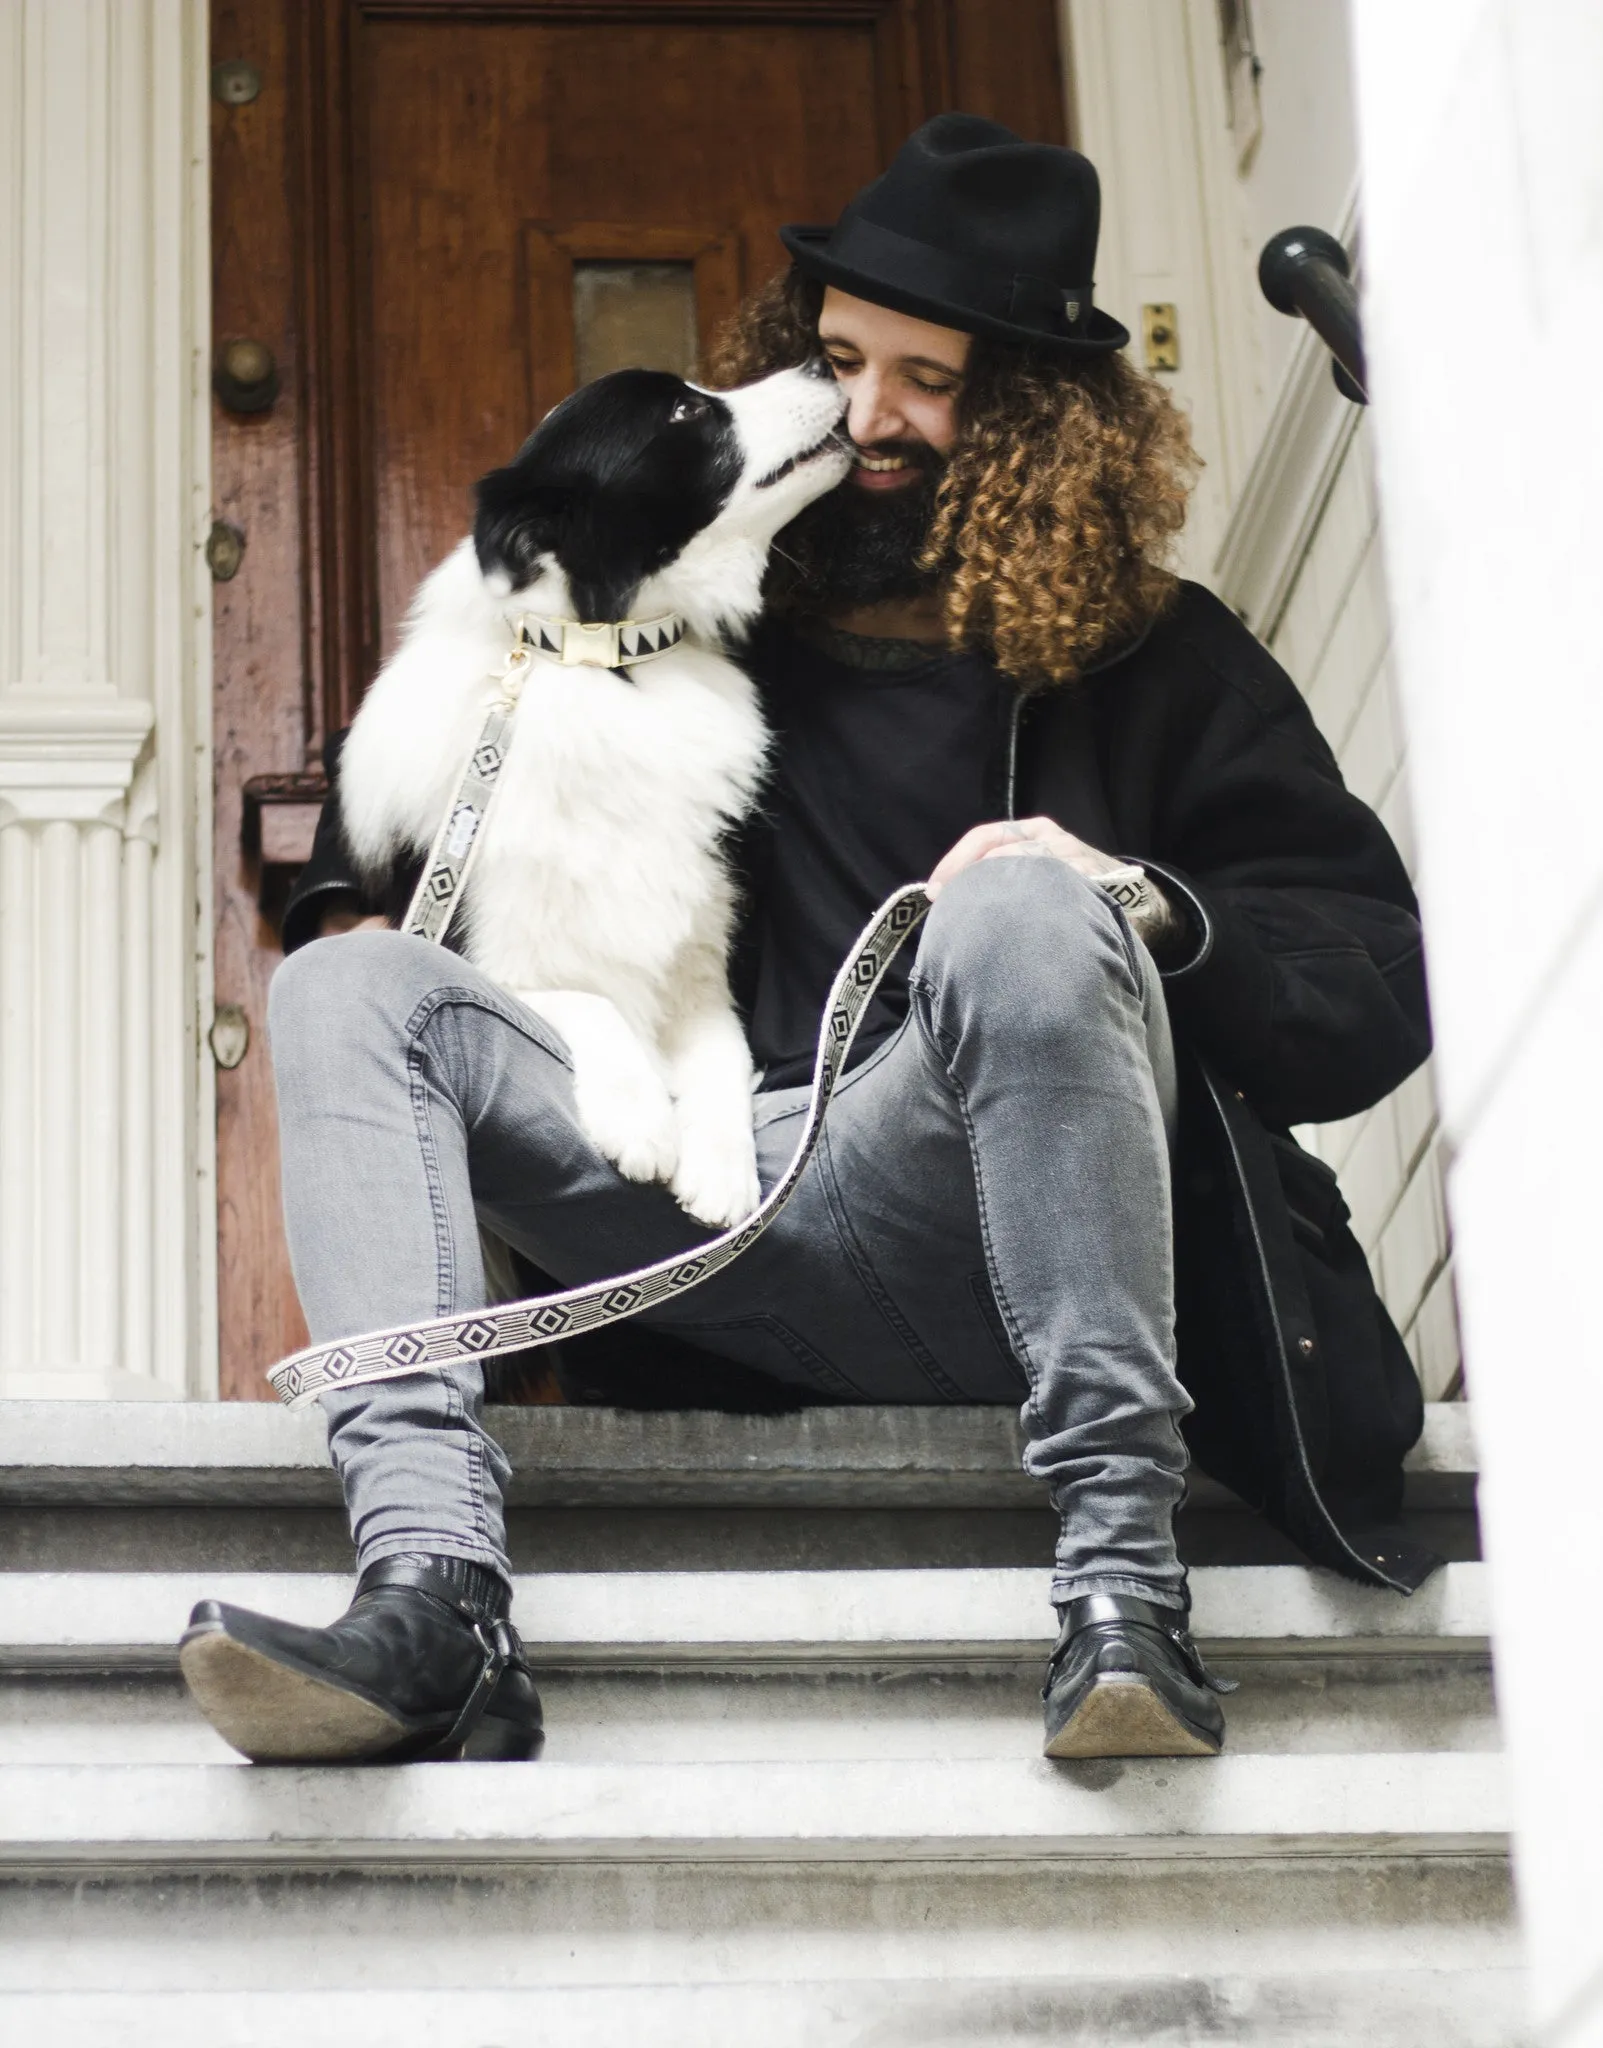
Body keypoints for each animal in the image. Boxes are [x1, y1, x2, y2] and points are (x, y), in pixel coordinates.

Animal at [337, 366, 851, 1220]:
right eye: (684, 409)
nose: (823, 366)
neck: (605, 659)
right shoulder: (485, 949)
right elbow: (594, 1003)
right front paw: (641, 1123)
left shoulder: (701, 956)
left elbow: (721, 1051)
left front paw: (721, 1169)